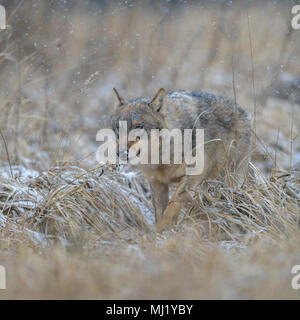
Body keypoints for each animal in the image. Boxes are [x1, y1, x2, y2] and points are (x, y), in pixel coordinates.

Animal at [110, 89, 251, 231]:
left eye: (138, 126)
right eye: (118, 128)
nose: (120, 152)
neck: (163, 158)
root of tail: (241, 110)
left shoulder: (192, 174)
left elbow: (172, 204)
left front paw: (168, 229)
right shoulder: (157, 183)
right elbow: (159, 213)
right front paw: (160, 233)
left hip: (220, 181)